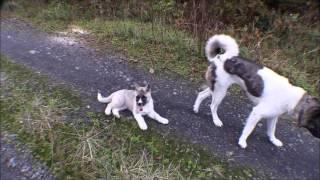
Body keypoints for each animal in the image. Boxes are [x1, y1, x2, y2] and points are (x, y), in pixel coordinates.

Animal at [192, 34, 320, 148]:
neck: (295, 99)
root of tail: (224, 57)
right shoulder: (256, 113)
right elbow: (248, 130)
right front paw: (242, 142)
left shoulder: (273, 117)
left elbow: (271, 130)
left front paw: (273, 140)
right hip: (221, 91)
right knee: (213, 106)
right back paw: (216, 121)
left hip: (216, 88)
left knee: (201, 94)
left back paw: (196, 109)